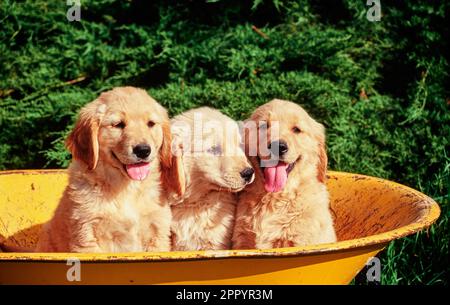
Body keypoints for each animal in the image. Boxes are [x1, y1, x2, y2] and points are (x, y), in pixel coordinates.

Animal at [35, 86, 179, 252]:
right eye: (118, 124)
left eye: (150, 123)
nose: (143, 150)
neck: (127, 188)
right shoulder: (86, 235)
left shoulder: (158, 233)